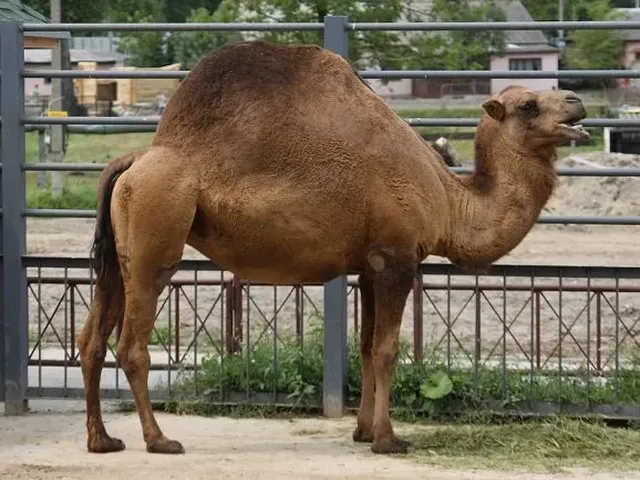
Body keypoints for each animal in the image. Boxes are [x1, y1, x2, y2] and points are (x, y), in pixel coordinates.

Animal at [76, 40, 589, 456]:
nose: (577, 102)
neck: (449, 200)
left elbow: (363, 347)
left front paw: (363, 431)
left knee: (92, 339)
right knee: (131, 344)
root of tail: (134, 159)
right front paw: (388, 440)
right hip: (156, 235)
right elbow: (387, 349)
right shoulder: (398, 258)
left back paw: (103, 440)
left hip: (120, 252)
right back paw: (159, 439)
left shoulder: (368, 266)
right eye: (527, 105)